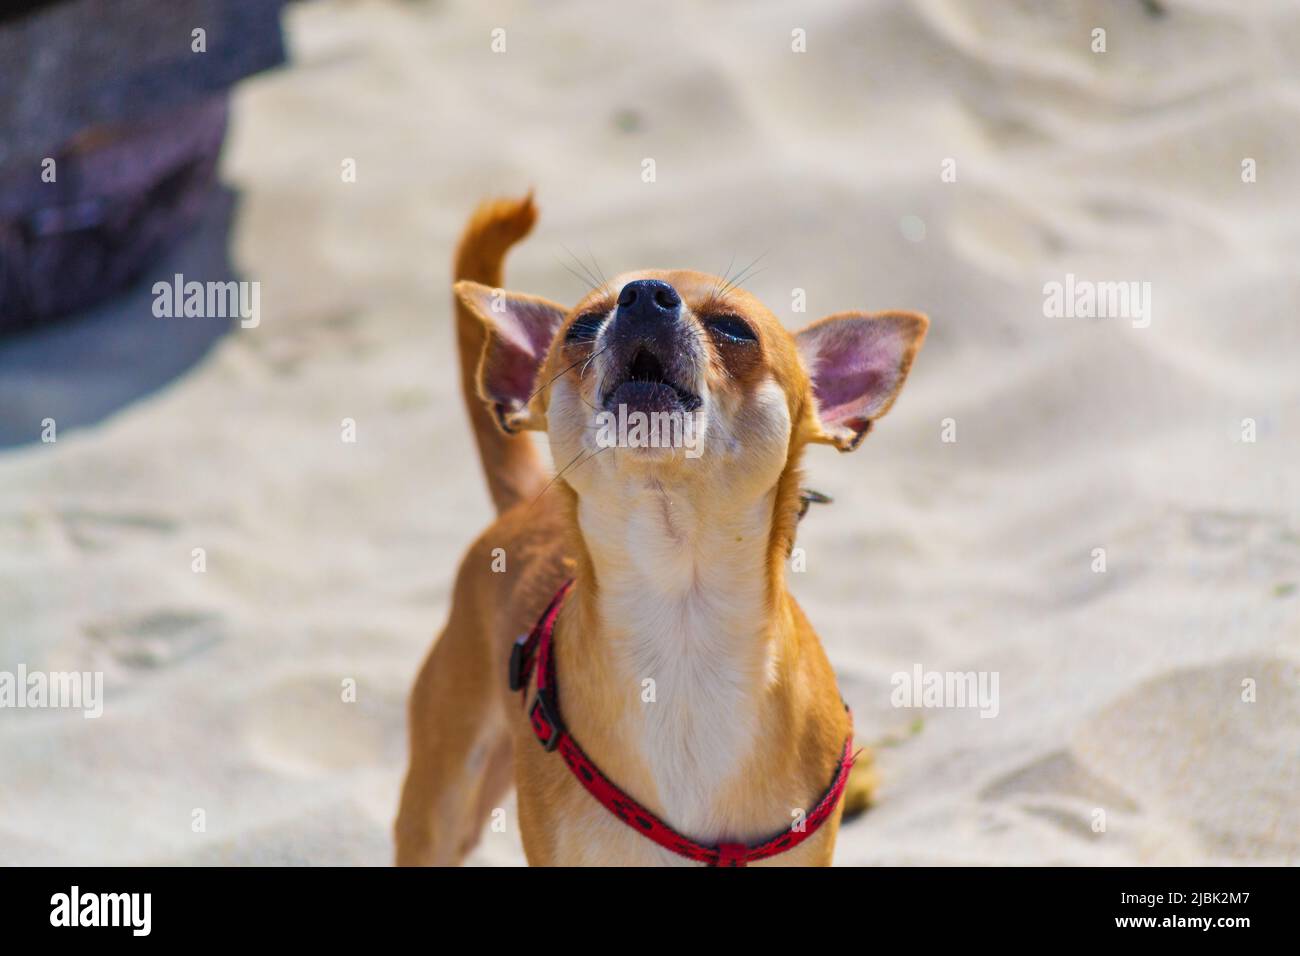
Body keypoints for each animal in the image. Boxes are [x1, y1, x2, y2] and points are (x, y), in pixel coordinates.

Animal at [395, 195, 925, 868]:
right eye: (580, 327)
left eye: (735, 329)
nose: (645, 295)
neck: (681, 624)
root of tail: (522, 507)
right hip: (442, 802)